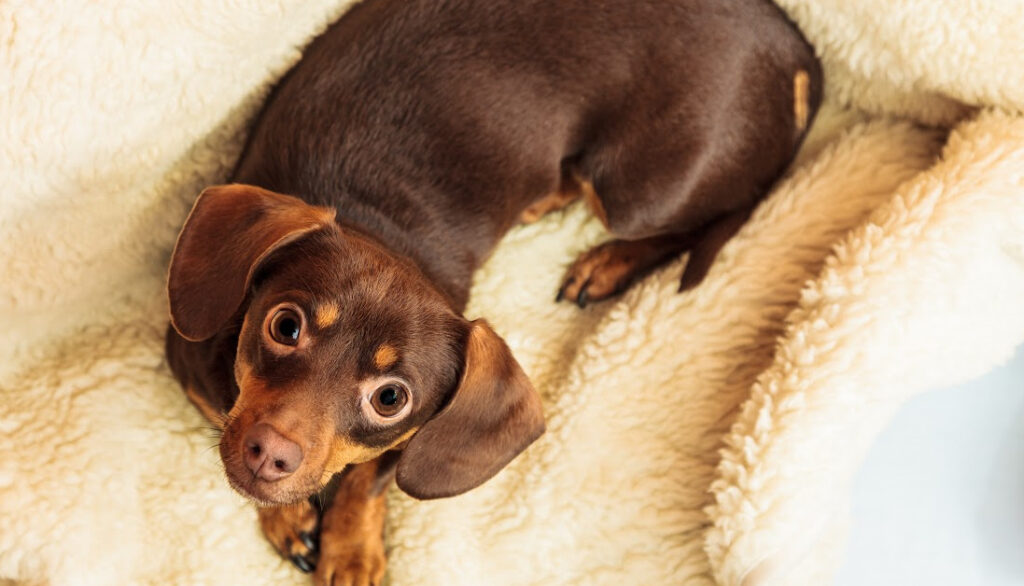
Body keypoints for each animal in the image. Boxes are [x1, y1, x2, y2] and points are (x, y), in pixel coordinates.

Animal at [167, 0, 823, 577]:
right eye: (285, 326)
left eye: (390, 398)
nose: (269, 452)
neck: (379, 227)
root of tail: (790, 41)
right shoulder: (198, 379)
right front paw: (288, 520)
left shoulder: (409, 444)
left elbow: (365, 483)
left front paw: (350, 554)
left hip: (639, 193)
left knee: (708, 215)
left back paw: (606, 264)